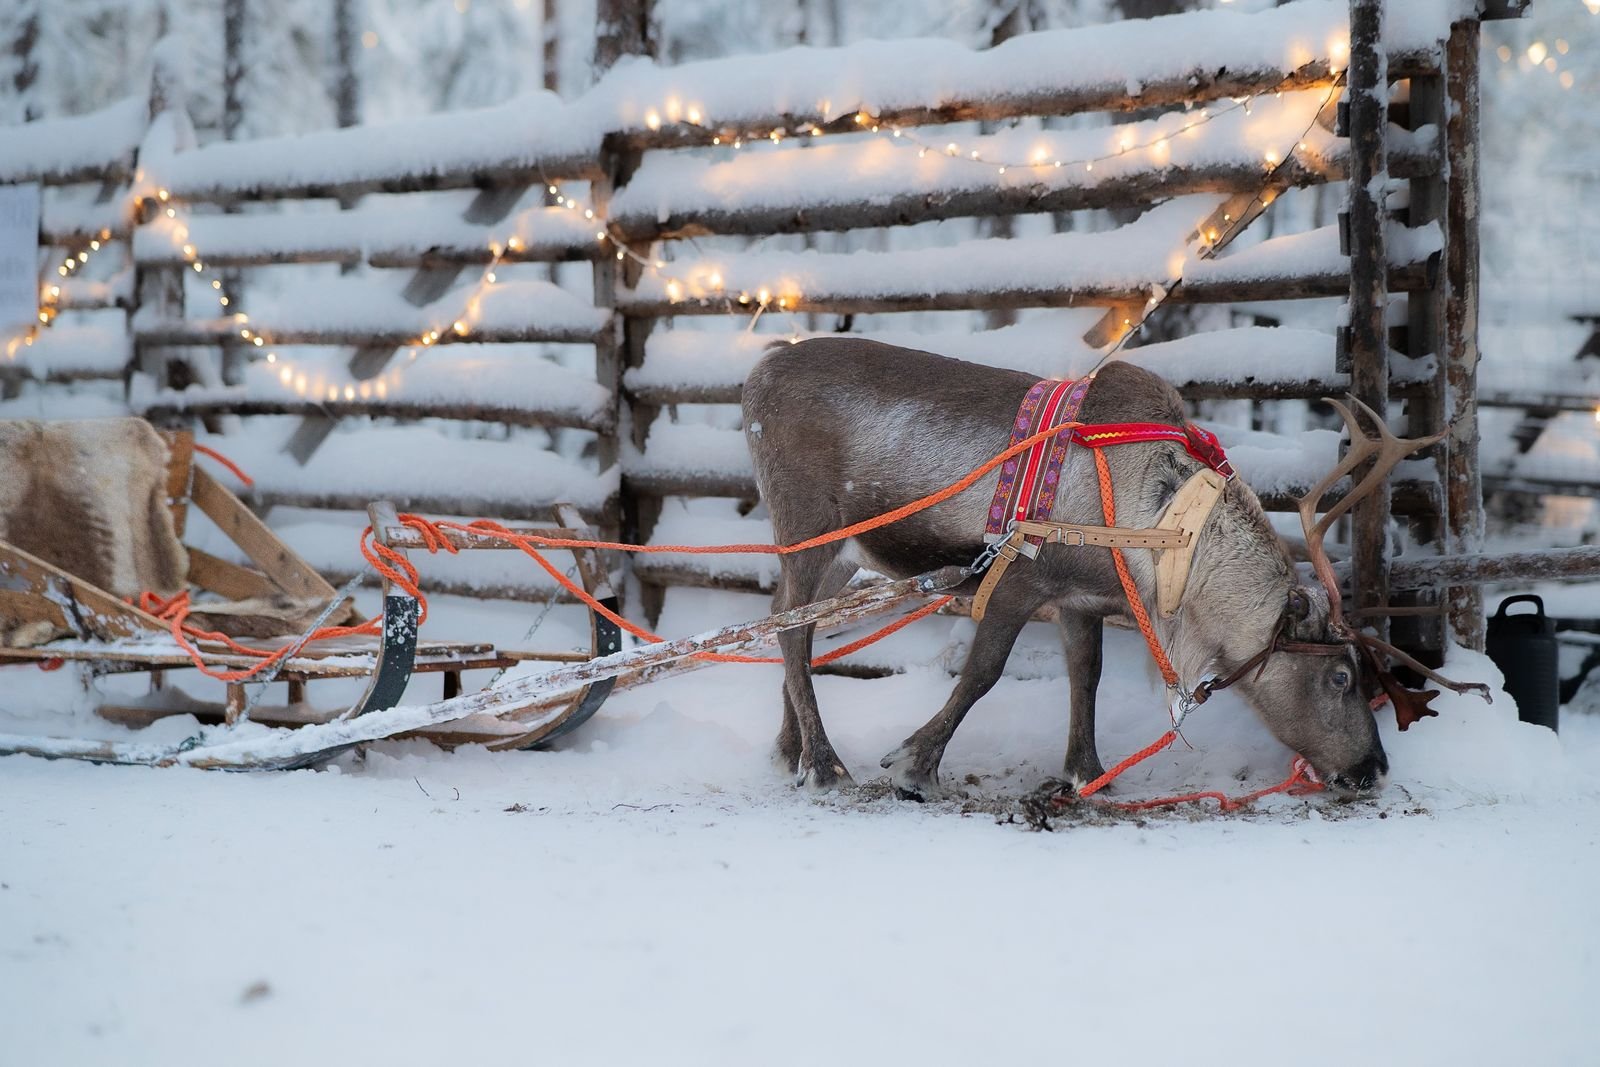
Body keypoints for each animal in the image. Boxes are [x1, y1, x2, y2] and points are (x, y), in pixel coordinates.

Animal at [742, 336, 1487, 799]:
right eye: (1340, 675)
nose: (1374, 768)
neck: (1170, 542)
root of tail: (756, 375)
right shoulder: (1020, 579)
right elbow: (983, 674)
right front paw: (914, 765)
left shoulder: (1082, 599)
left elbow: (1087, 678)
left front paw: (1086, 772)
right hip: (807, 526)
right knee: (791, 632)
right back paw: (827, 766)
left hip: (841, 555)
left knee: (784, 623)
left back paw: (789, 750)